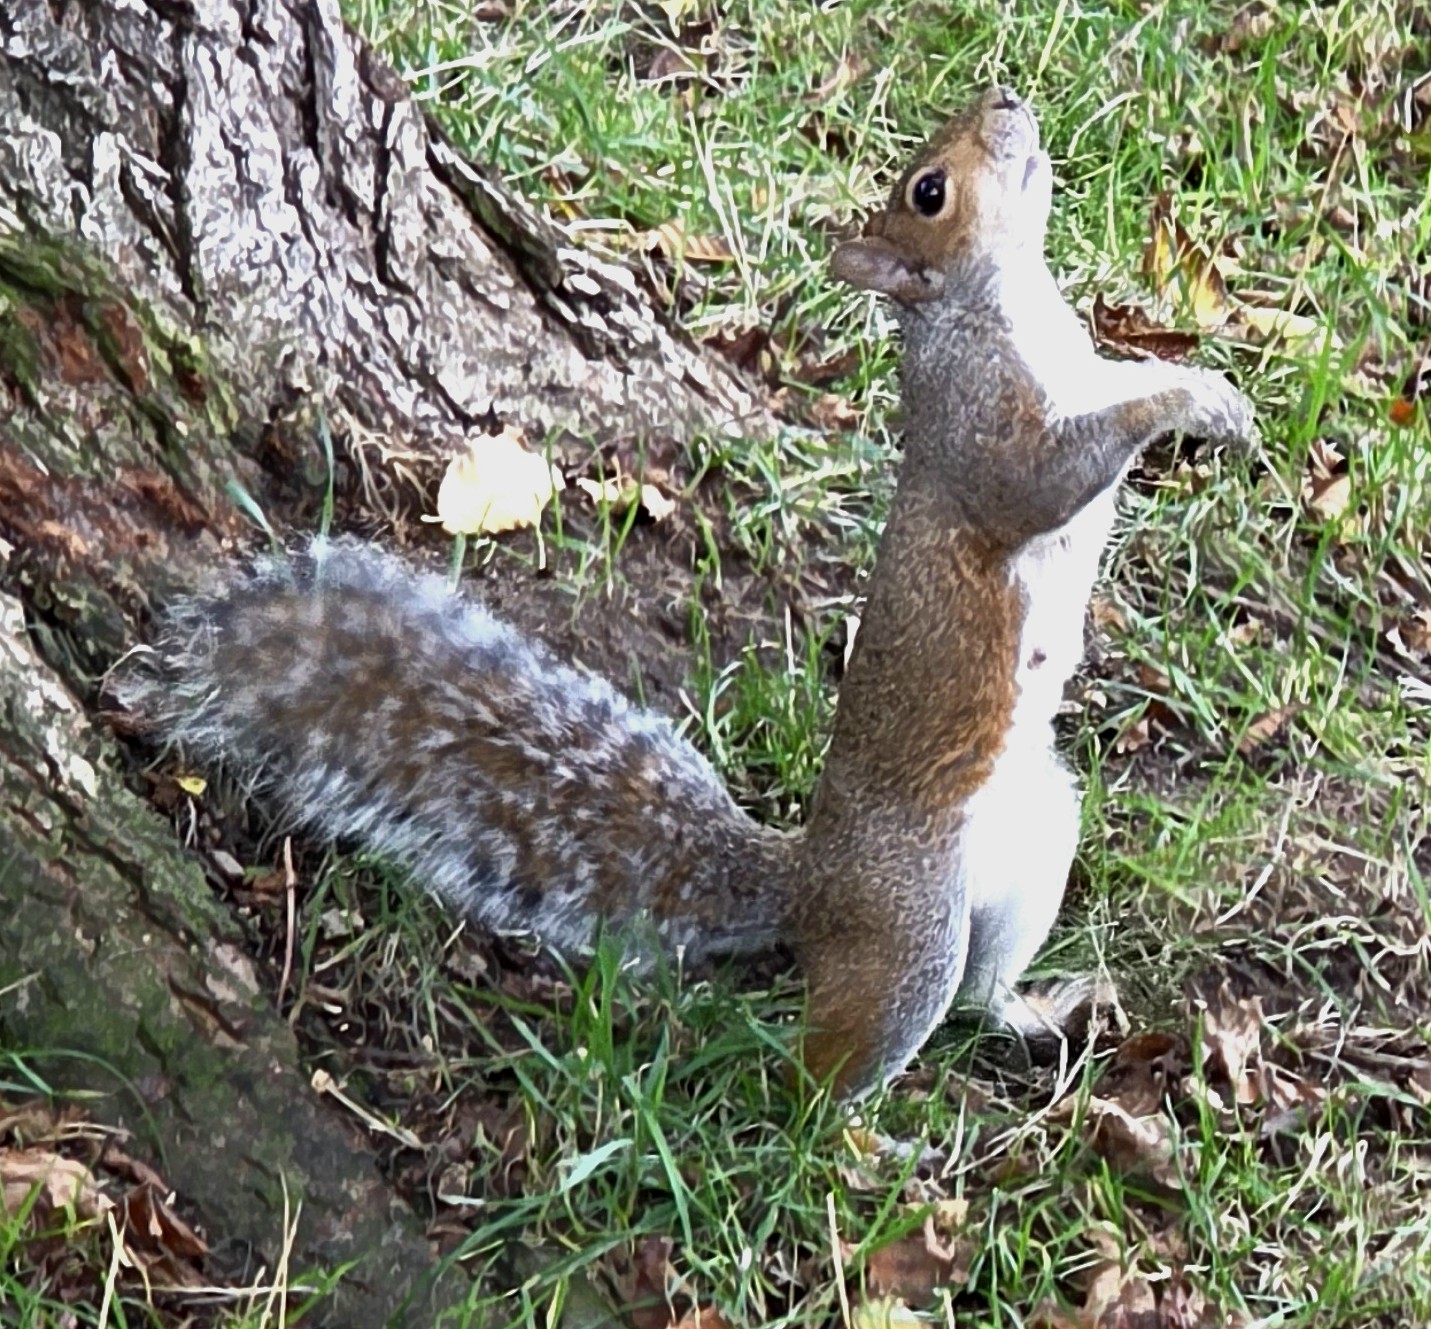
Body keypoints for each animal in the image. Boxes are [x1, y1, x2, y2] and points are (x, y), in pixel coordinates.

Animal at [127, 87, 1255, 1101]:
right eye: (928, 191)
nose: (1006, 101)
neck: (1004, 303)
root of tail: (810, 888)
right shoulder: (979, 428)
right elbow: (1044, 476)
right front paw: (1185, 399)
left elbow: (1114, 389)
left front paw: (1207, 392)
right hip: (913, 924)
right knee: (823, 1073)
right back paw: (849, 1146)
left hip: (1037, 851)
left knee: (979, 992)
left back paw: (1034, 1009)